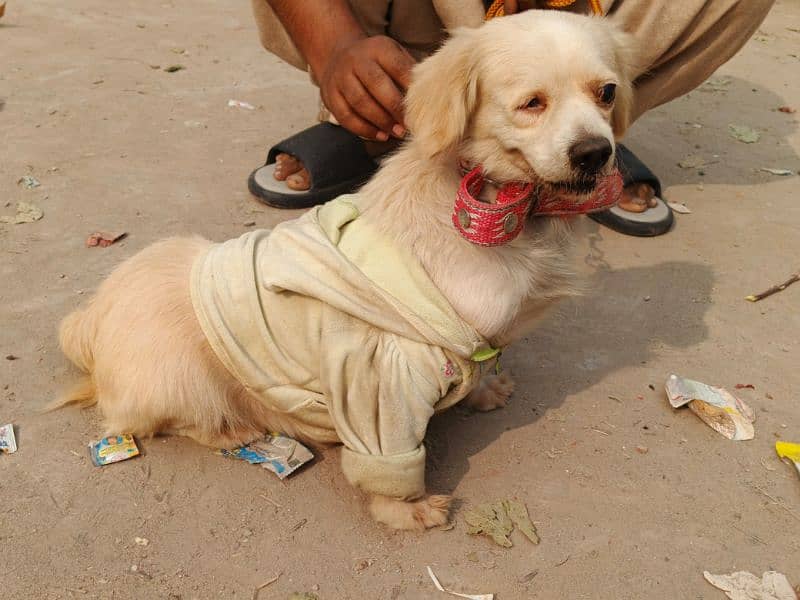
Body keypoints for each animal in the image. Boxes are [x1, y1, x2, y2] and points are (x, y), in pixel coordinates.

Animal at [53, 11, 636, 528]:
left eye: (607, 93)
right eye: (531, 103)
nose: (594, 152)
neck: (503, 210)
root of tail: (90, 321)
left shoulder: (467, 347)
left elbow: (481, 367)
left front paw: (485, 391)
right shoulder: (382, 378)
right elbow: (389, 463)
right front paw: (405, 513)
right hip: (184, 377)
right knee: (157, 421)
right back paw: (233, 431)